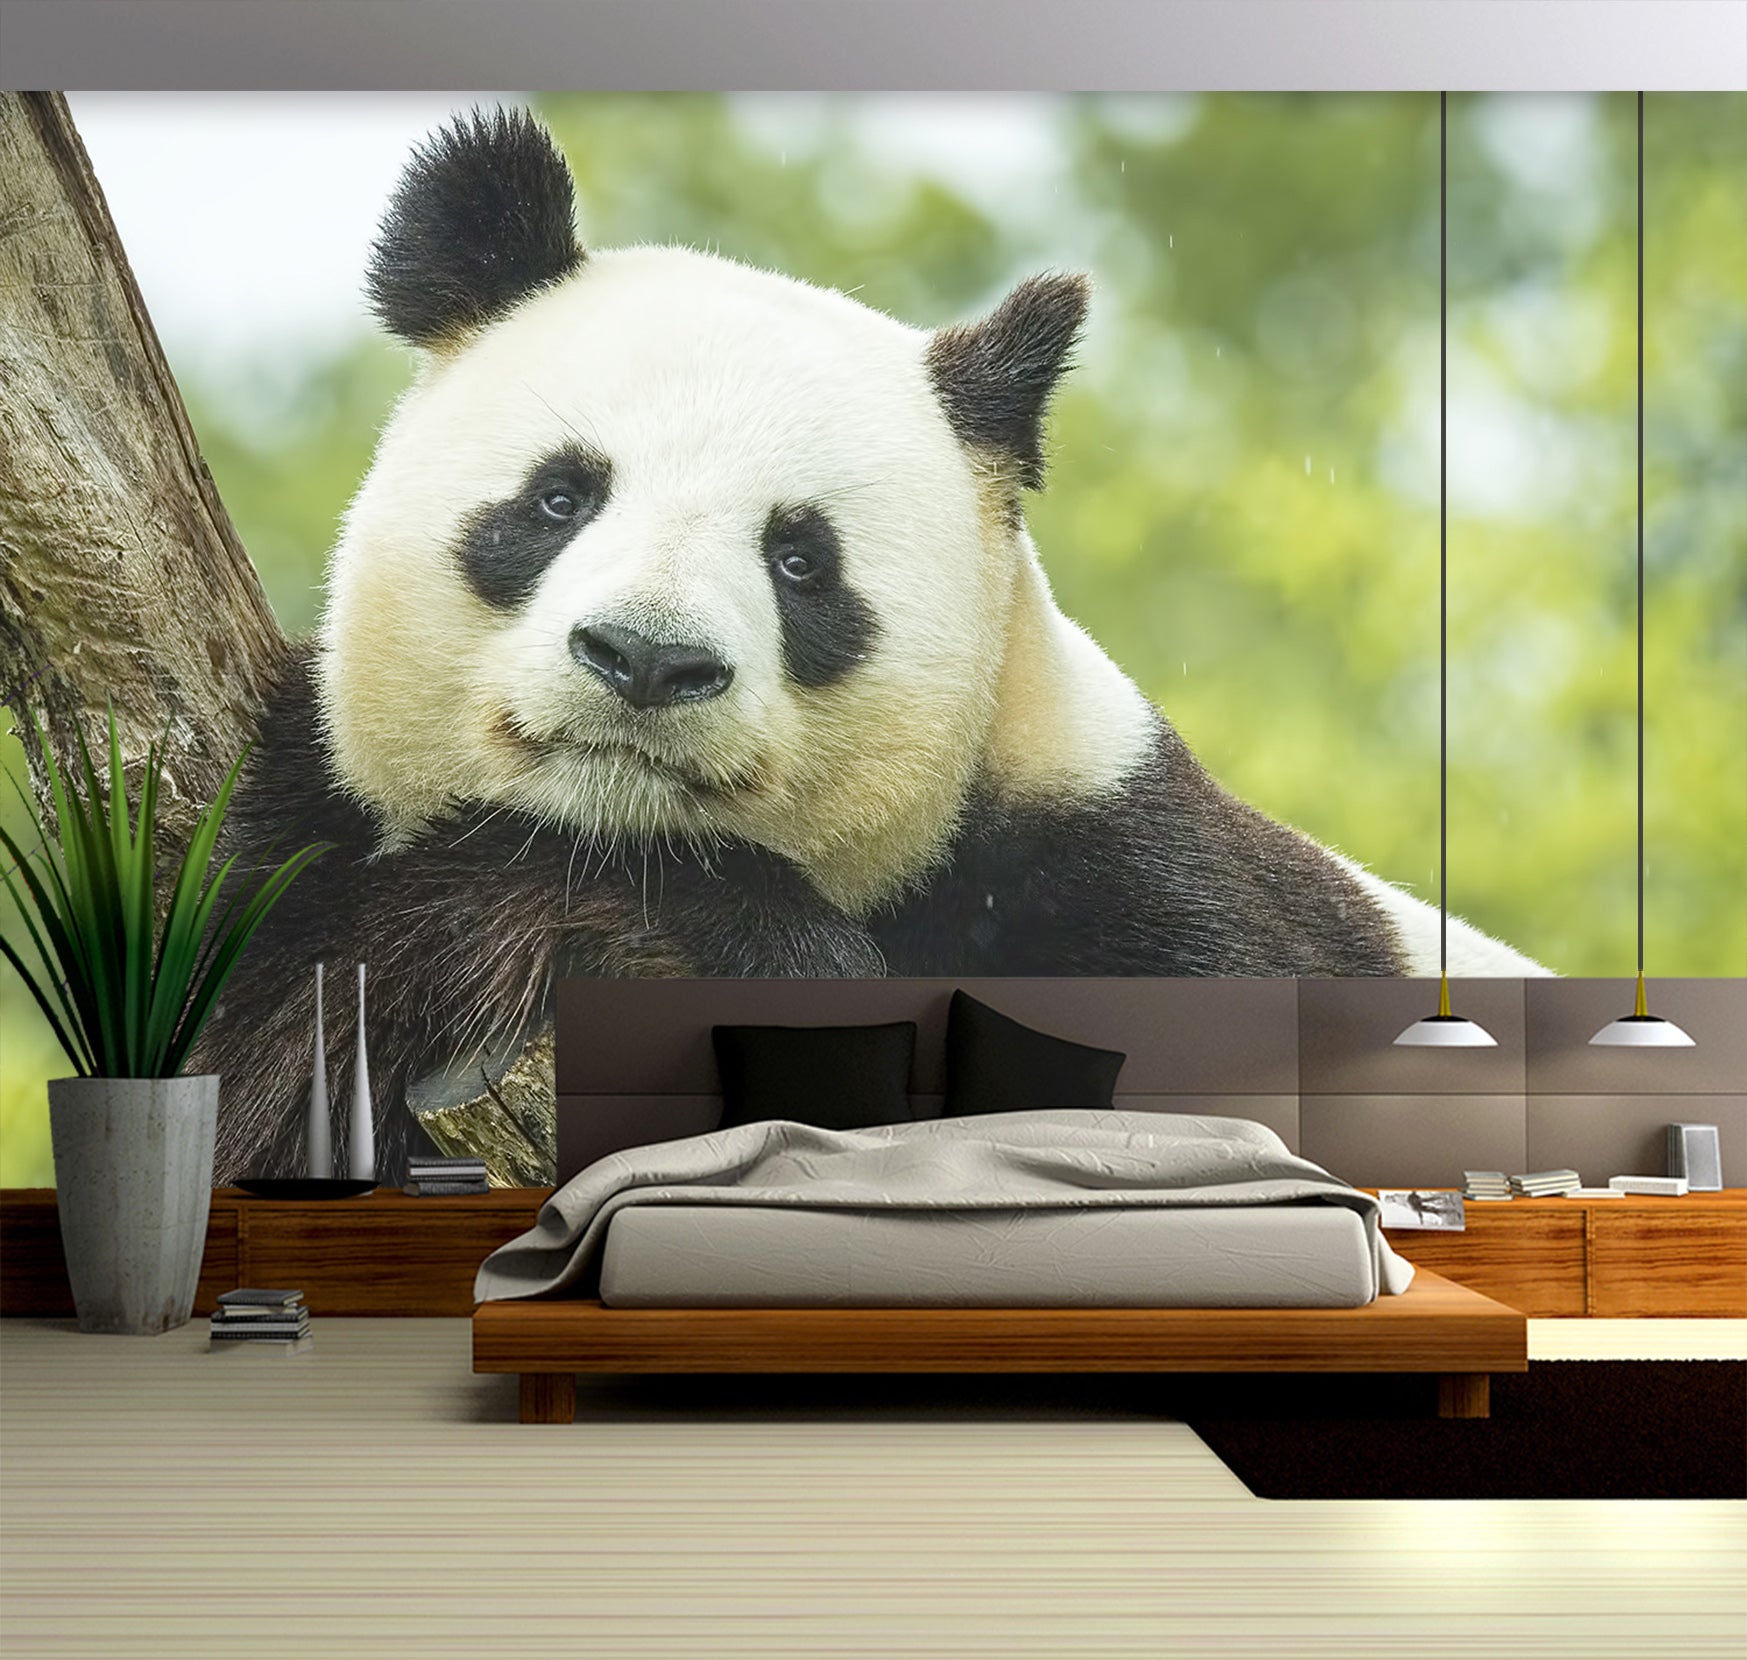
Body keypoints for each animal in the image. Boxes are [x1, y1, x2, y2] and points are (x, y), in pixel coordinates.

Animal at [196, 107, 1549, 1184]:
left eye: (801, 560)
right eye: (559, 498)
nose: (646, 659)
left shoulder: (1138, 878)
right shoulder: (277, 828)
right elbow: (269, 1063)